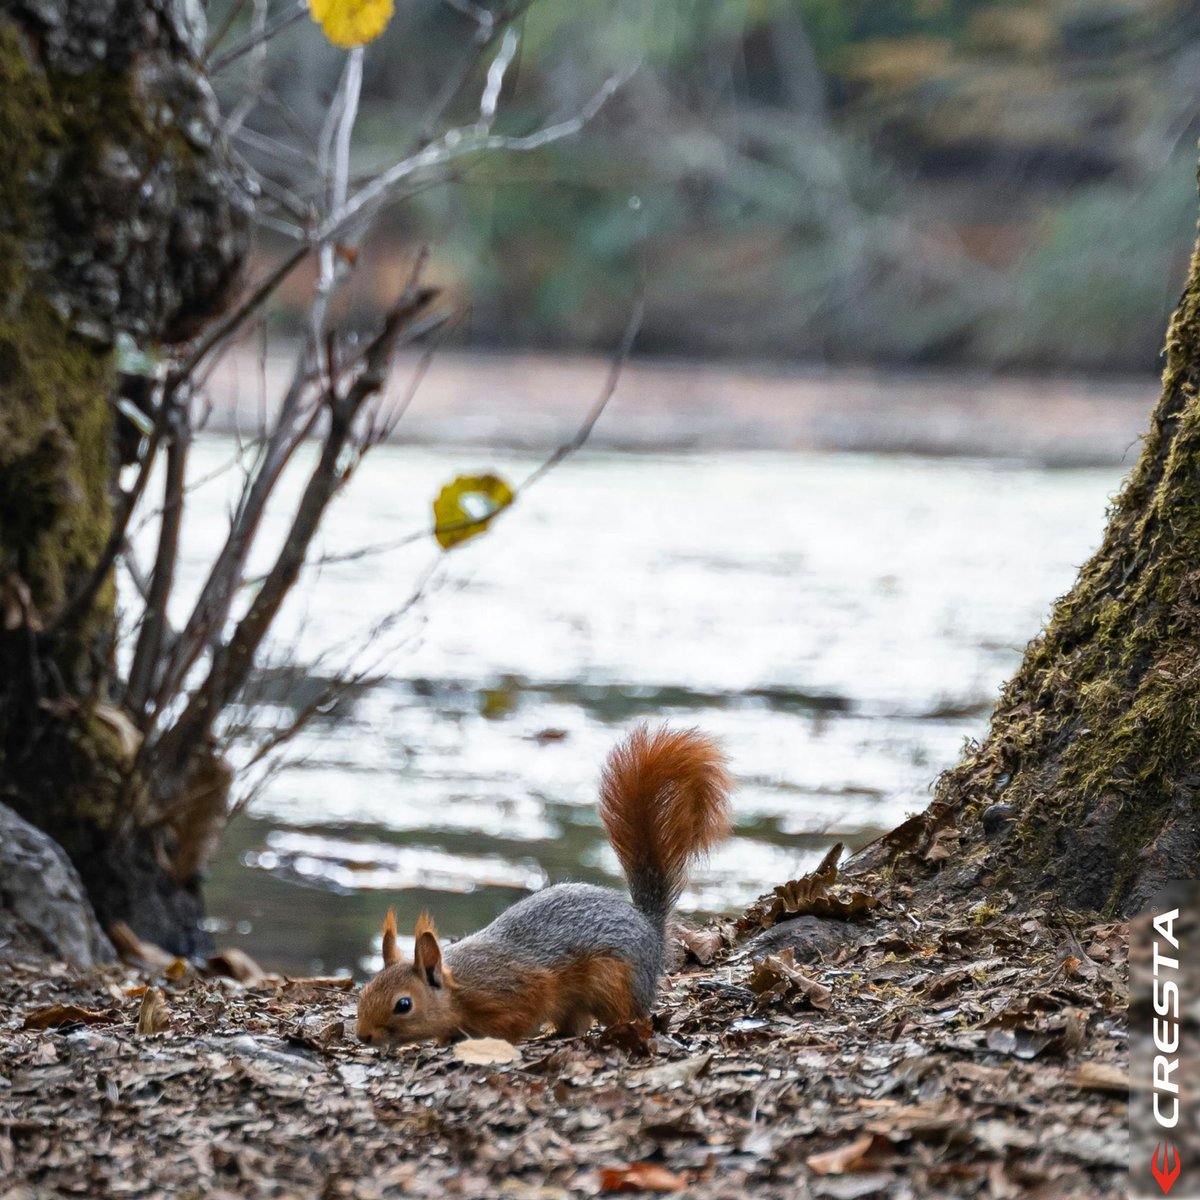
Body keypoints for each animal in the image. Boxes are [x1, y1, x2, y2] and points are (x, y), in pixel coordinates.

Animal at [355, 723, 732, 1045]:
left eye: (403, 1004)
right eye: (365, 991)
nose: (363, 1036)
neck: (461, 986)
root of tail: (650, 927)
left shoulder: (518, 991)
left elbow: (518, 1019)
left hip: (614, 982)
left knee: (627, 1015)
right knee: (574, 1025)